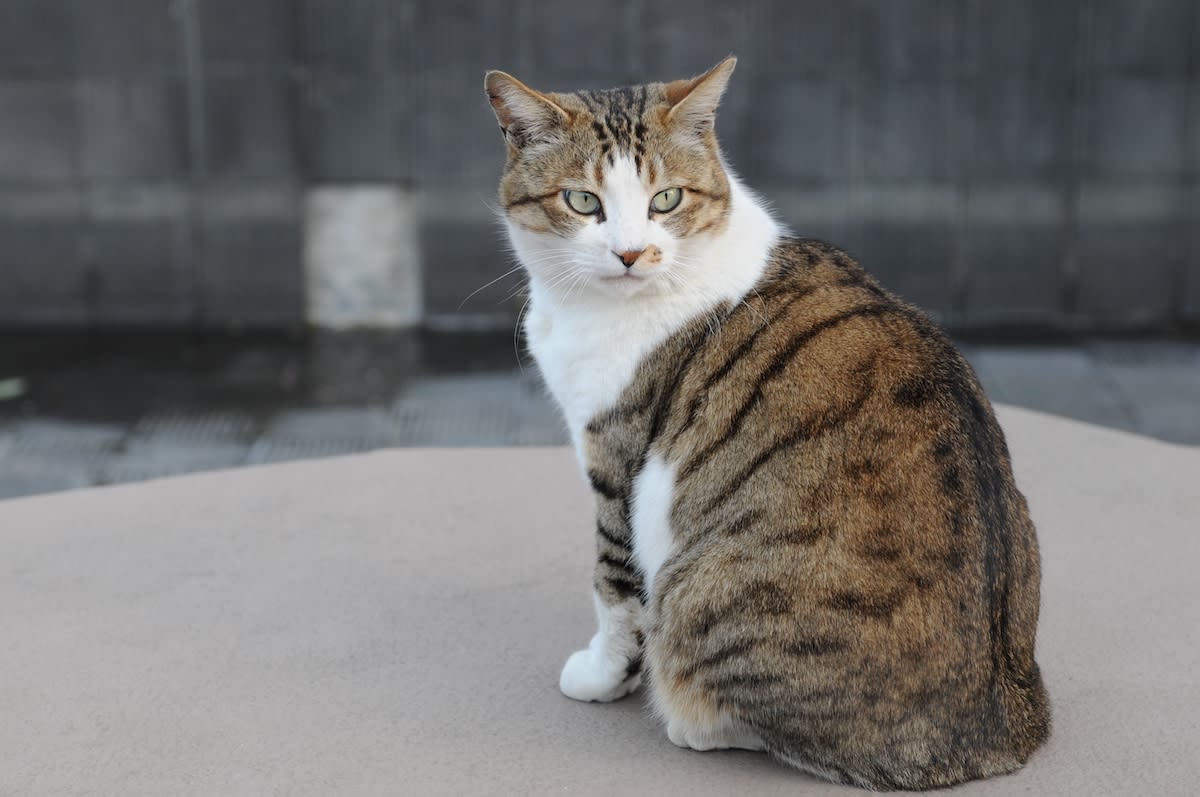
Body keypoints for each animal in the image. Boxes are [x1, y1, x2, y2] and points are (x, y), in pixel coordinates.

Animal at [482, 57, 1046, 792]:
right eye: (583, 202)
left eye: (666, 200)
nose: (631, 253)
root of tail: (1001, 733)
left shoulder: (616, 456)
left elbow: (612, 585)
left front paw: (603, 675)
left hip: (703, 590)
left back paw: (692, 721)